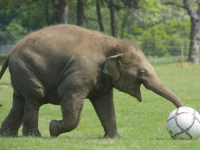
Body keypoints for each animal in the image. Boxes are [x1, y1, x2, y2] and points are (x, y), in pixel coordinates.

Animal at [0, 24, 184, 138]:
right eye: (143, 73)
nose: (181, 111)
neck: (113, 43)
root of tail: (11, 52)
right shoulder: (81, 73)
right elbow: (70, 97)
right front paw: (53, 129)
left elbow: (105, 103)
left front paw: (114, 138)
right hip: (25, 68)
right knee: (35, 96)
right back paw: (34, 136)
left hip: (22, 72)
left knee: (19, 101)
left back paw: (8, 135)